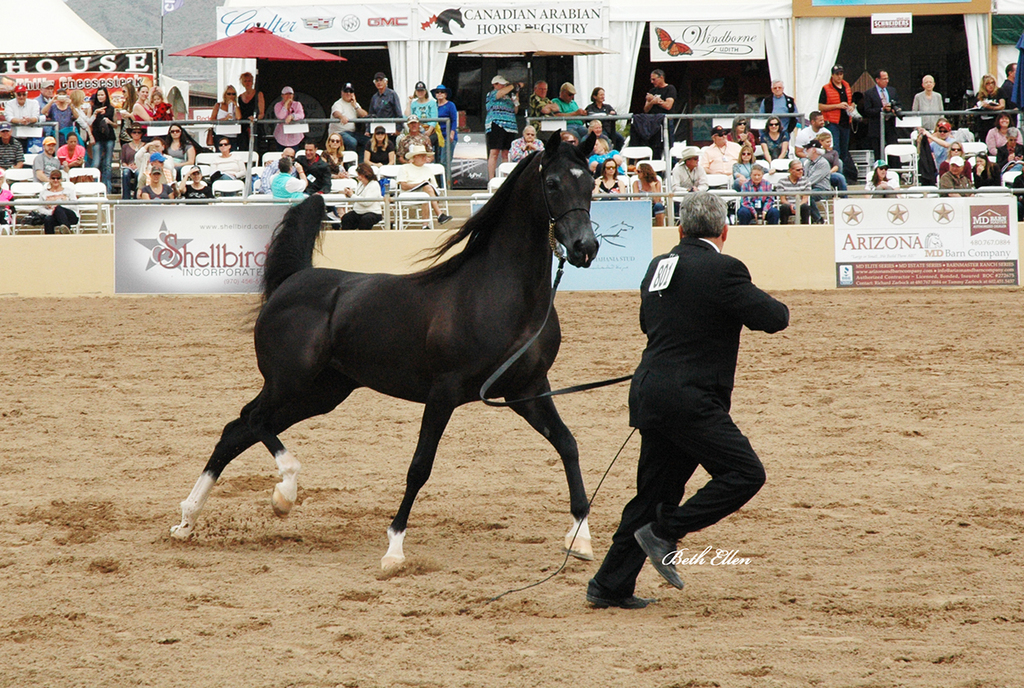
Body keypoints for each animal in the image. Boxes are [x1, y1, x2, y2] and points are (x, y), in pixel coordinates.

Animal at [171, 132, 602, 569]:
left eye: (590, 183)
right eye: (553, 184)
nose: (585, 247)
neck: (501, 295)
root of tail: (294, 280)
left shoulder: (527, 389)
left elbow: (568, 444)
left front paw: (580, 538)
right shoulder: (444, 392)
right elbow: (420, 467)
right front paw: (394, 549)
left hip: (320, 393)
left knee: (236, 430)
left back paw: (189, 521)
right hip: (289, 383)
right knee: (252, 421)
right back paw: (282, 494)